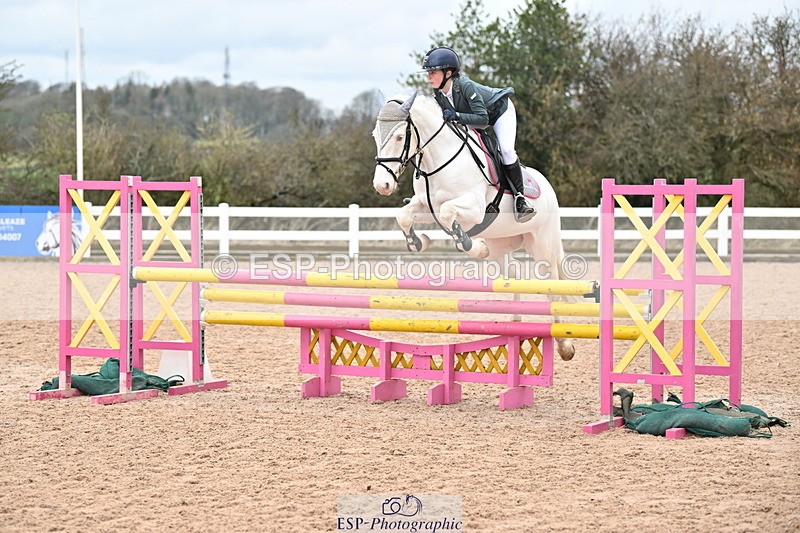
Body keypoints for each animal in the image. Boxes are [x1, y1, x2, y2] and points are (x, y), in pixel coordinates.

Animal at [371, 92, 576, 361]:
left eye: (398, 136)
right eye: (375, 136)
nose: (381, 185)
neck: (439, 159)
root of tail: (547, 185)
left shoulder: (475, 209)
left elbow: (449, 214)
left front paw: (470, 244)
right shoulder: (426, 206)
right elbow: (404, 216)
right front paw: (418, 242)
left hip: (542, 245)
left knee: (551, 283)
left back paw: (565, 344)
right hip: (501, 248)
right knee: (516, 275)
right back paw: (516, 323)